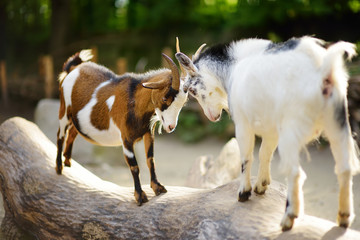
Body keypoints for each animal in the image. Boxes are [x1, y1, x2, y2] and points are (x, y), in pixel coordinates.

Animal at [56, 49, 188, 205]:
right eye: (165, 98)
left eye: (183, 103)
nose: (170, 126)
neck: (134, 101)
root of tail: (73, 69)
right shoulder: (126, 138)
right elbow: (134, 167)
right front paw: (140, 196)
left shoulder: (148, 133)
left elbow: (150, 160)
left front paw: (158, 187)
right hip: (64, 110)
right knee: (60, 135)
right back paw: (59, 167)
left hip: (76, 119)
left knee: (72, 133)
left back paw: (68, 161)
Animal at [176, 37, 358, 231]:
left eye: (192, 90)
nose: (212, 117)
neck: (234, 67)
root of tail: (323, 69)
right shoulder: (271, 130)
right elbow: (265, 153)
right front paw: (261, 185)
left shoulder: (243, 124)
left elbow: (246, 157)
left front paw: (244, 192)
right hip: (337, 122)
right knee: (344, 168)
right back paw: (344, 218)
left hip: (291, 130)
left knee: (295, 172)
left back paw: (288, 218)